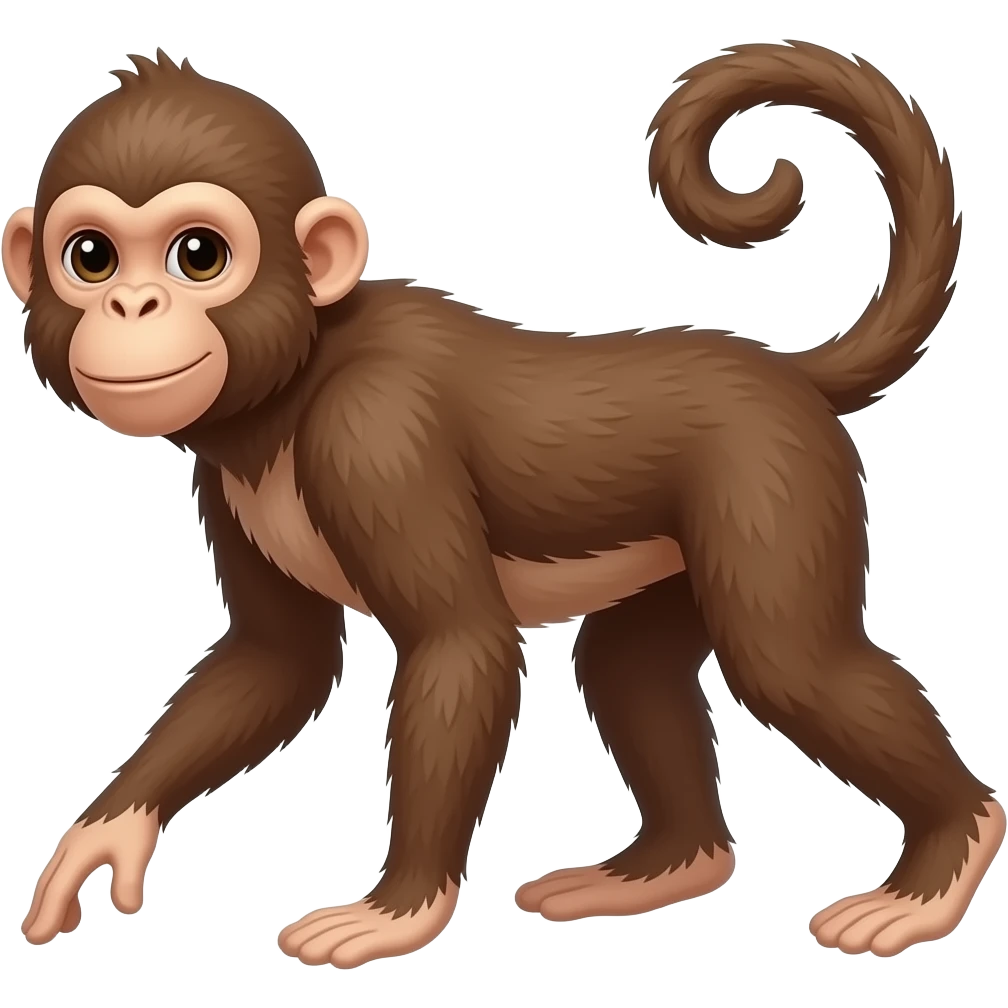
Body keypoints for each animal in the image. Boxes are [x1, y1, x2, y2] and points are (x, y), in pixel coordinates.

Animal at [4, 41, 1002, 969]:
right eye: (91, 257)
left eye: (198, 255)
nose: (134, 304)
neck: (291, 388)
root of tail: (783, 371)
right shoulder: (225, 479)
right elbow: (277, 664)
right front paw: (109, 829)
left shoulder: (373, 436)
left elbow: (461, 641)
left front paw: (399, 908)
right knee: (629, 667)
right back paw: (667, 867)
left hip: (772, 479)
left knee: (790, 662)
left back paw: (942, 862)